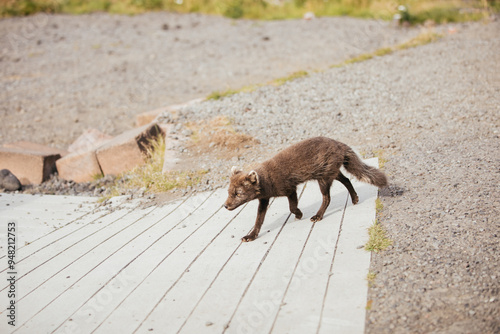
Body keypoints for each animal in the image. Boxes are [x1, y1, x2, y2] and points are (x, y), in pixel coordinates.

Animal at [225, 136, 388, 243]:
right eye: (228, 192)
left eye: (238, 193)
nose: (225, 206)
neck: (268, 179)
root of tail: (339, 143)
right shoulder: (264, 199)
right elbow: (259, 220)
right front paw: (250, 236)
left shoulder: (290, 189)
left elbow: (292, 207)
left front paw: (299, 214)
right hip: (331, 173)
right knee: (347, 180)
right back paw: (354, 198)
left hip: (323, 178)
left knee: (327, 198)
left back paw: (318, 215)